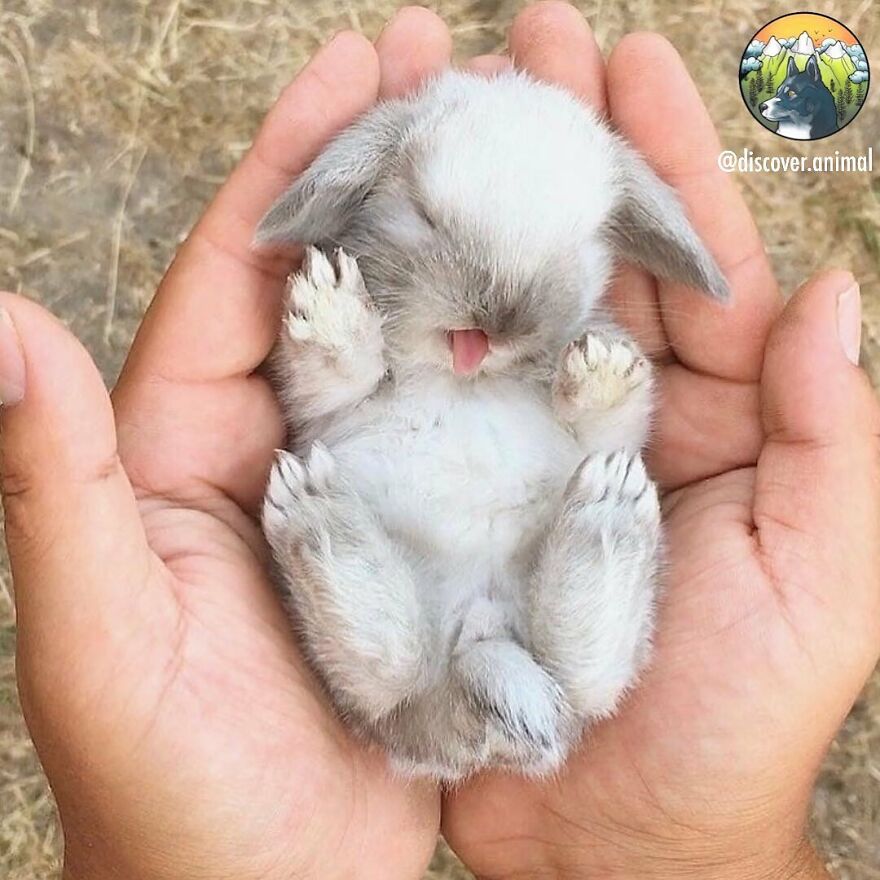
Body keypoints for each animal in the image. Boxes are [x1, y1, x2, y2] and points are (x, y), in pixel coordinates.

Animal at [256, 69, 727, 782]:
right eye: (422, 213)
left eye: (581, 244)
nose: (499, 320)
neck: (465, 379)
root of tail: (480, 638)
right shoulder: (322, 403)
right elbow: (338, 369)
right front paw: (333, 303)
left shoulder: (610, 434)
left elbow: (612, 421)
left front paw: (604, 364)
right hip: (379, 677)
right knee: (391, 672)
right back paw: (314, 507)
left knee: (580, 678)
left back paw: (610, 509)